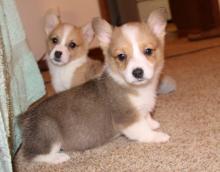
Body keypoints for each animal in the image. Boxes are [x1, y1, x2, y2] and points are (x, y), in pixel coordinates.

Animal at [19, 9, 169, 164]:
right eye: (121, 56)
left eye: (148, 51)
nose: (137, 72)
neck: (139, 89)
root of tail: (26, 117)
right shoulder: (128, 119)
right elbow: (144, 131)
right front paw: (159, 135)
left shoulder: (142, 111)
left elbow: (146, 118)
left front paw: (153, 123)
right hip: (49, 132)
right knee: (32, 155)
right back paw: (59, 157)